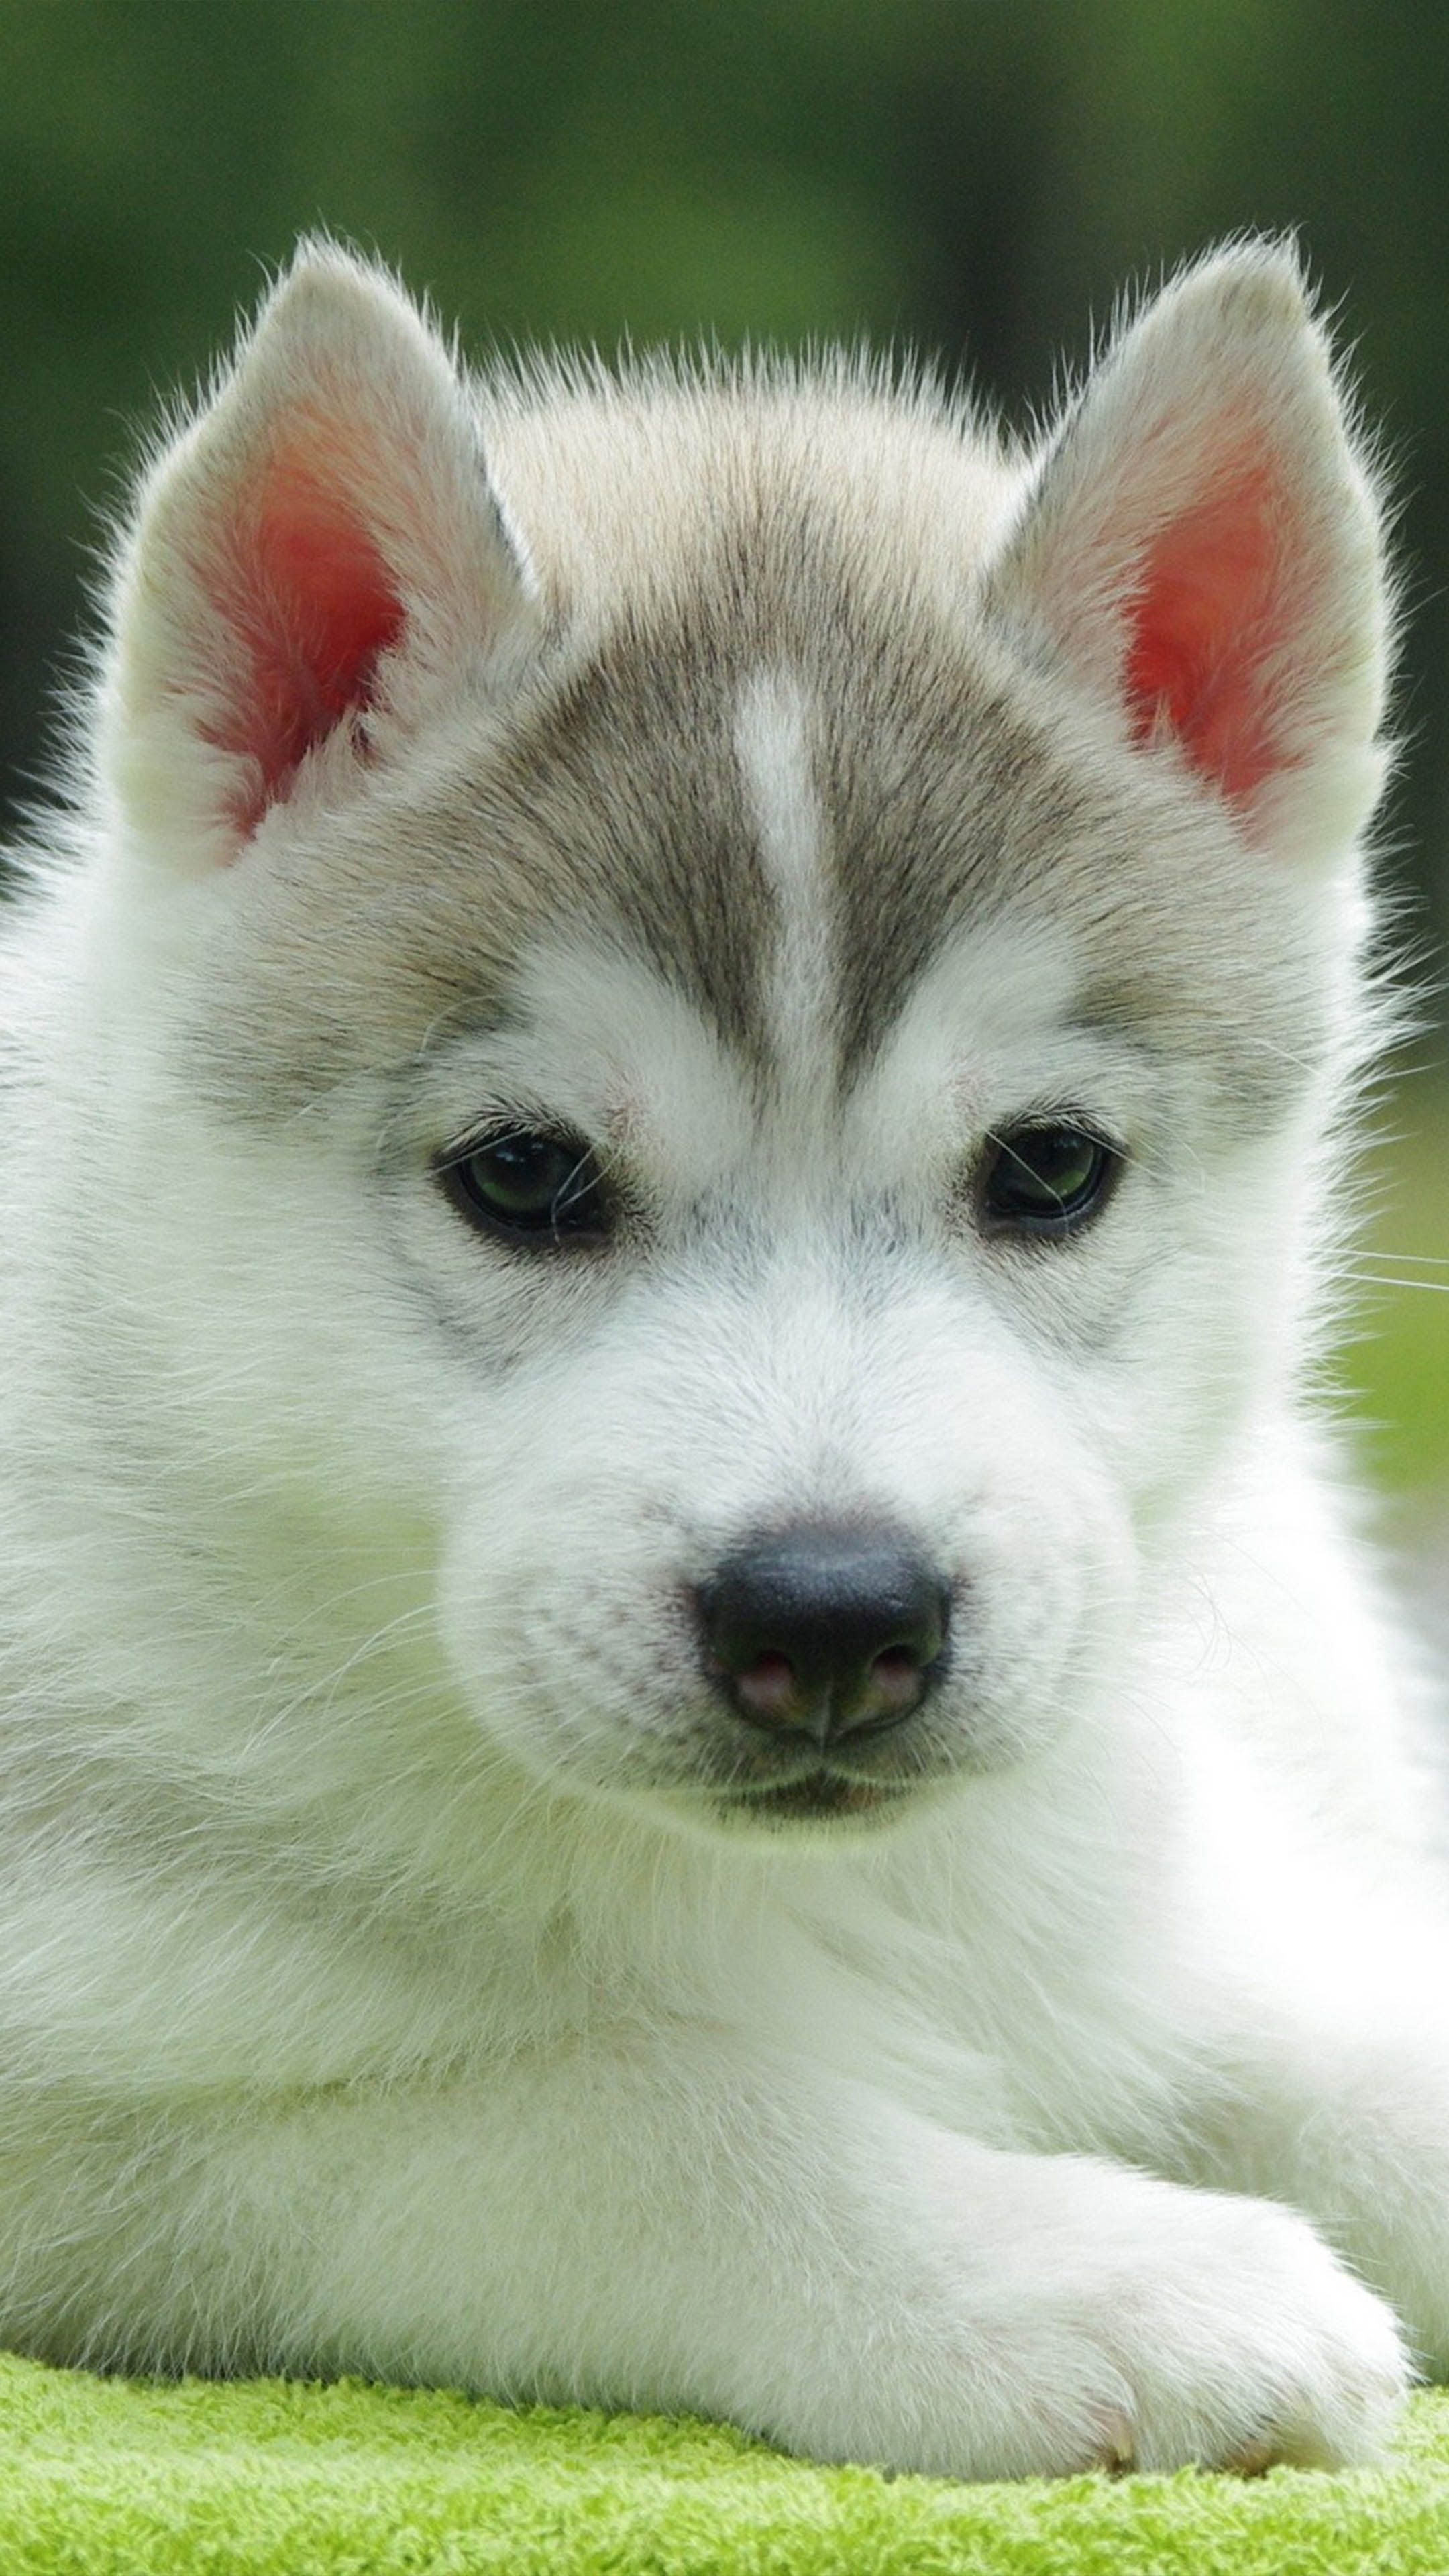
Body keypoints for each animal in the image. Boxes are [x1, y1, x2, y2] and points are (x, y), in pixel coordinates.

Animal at [3, 241, 1444, 2473]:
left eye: (1048, 1167)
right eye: (525, 1173)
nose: (834, 1612)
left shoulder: (1183, 1910)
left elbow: (1350, 2052)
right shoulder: (130, 2122)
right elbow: (635, 2112)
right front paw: (1106, 2275)